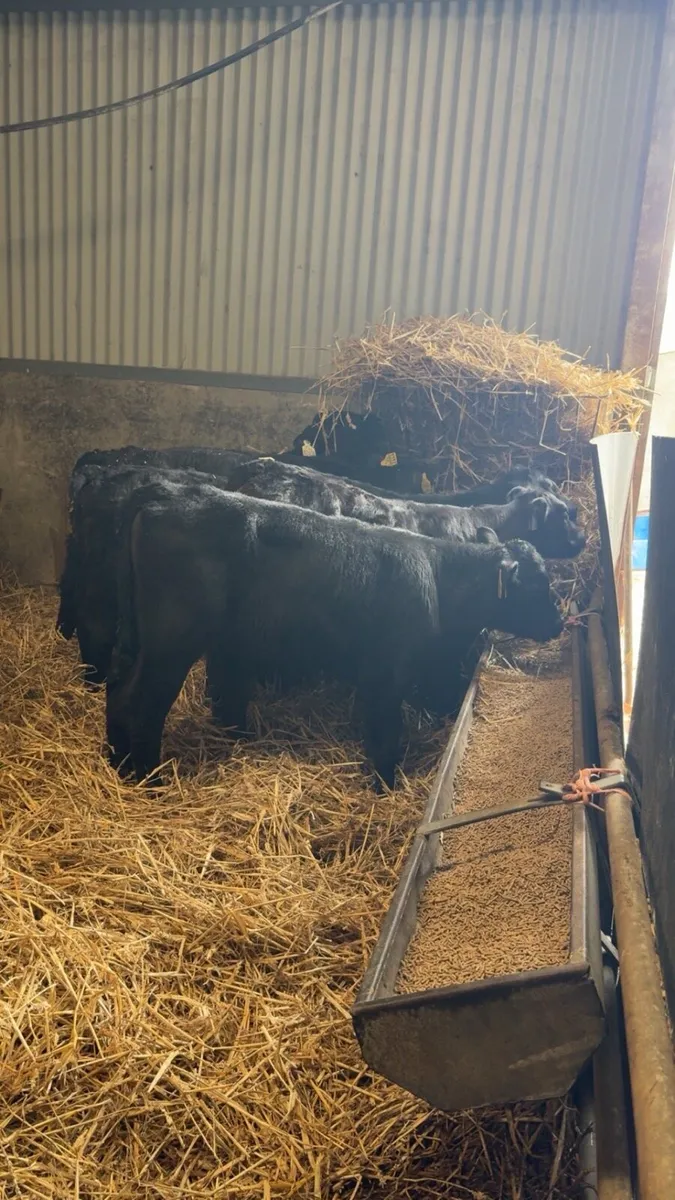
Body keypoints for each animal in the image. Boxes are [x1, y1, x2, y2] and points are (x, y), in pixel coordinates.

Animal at [105, 487, 563, 789]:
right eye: (535, 586)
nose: (559, 624)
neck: (437, 577)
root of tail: (164, 499)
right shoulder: (384, 673)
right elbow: (384, 731)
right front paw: (384, 784)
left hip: (145, 643)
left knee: (119, 691)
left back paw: (119, 762)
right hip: (171, 644)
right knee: (142, 701)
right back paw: (148, 777)